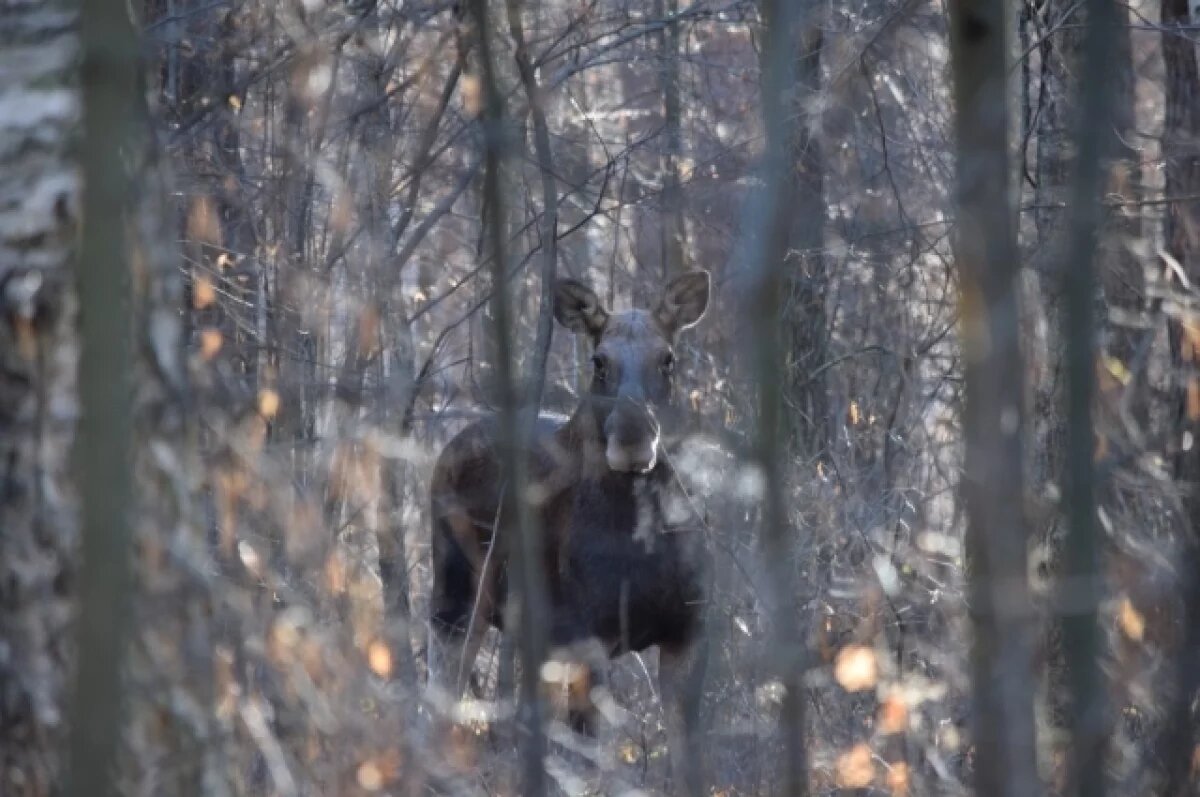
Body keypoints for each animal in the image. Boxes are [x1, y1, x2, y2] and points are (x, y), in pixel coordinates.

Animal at [429, 268, 710, 792]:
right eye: (599, 361)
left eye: (668, 359)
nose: (633, 439)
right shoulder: (587, 636)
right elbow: (591, 761)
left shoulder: (687, 633)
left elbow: (686, 766)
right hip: (457, 599)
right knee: (442, 686)